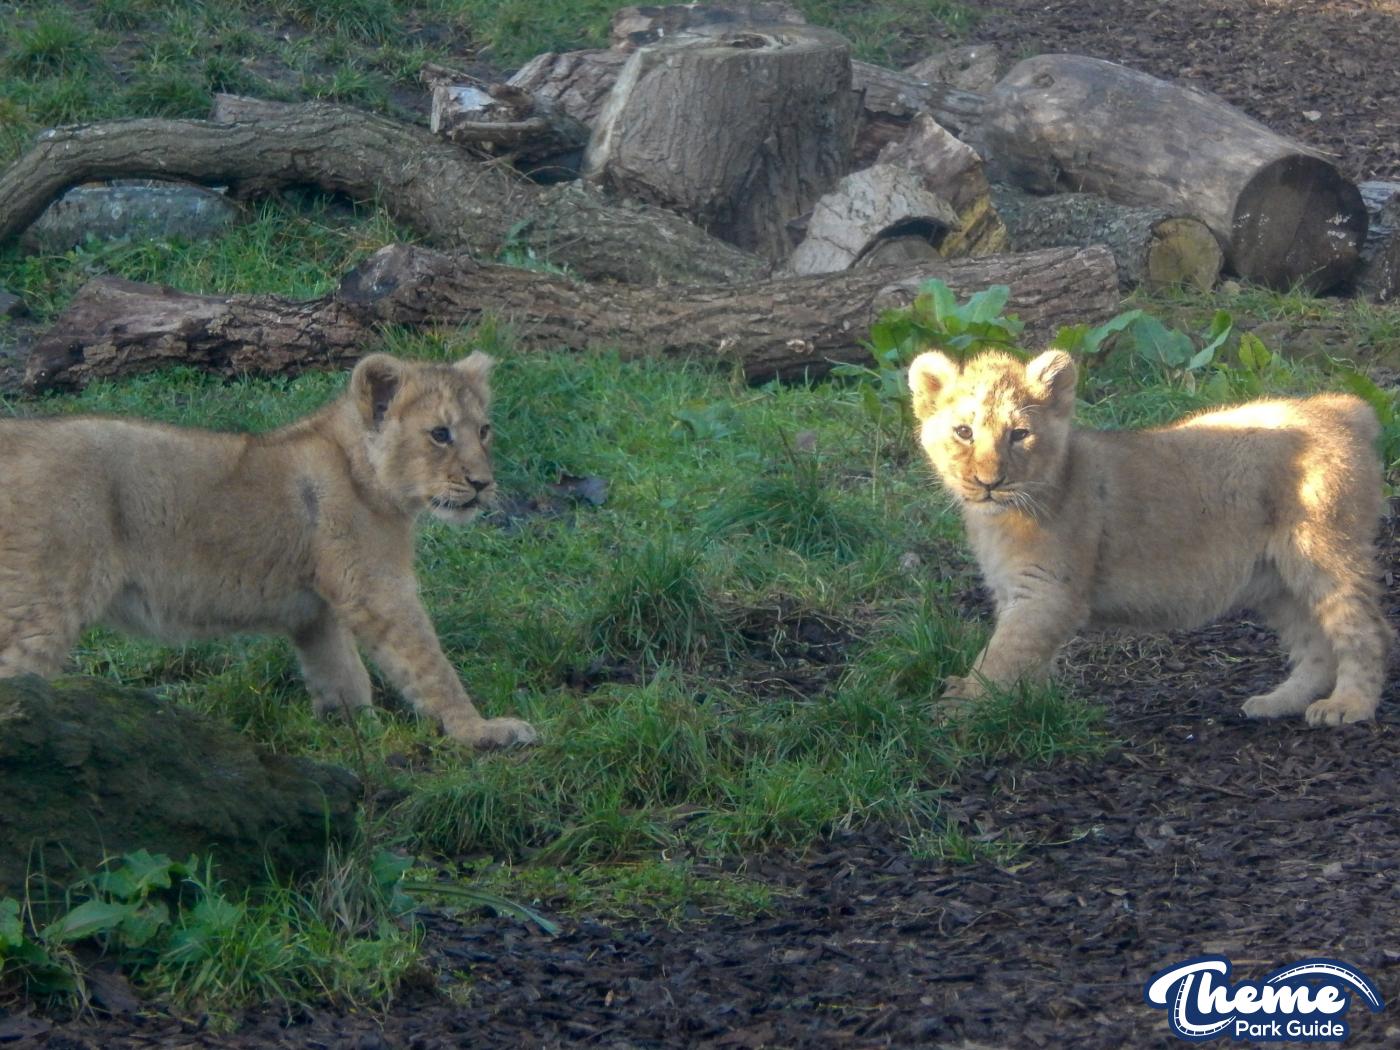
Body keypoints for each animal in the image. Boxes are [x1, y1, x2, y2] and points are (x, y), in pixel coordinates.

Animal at [0, 352, 536, 749]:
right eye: (440, 434)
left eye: (483, 430)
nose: (483, 484)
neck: (364, 473)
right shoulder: (377, 589)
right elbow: (428, 666)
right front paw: (482, 731)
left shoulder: (317, 611)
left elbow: (342, 674)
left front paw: (357, 734)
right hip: (44, 597)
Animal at [908, 348, 1390, 726]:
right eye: (964, 432)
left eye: (1019, 434)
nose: (989, 482)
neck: (1002, 516)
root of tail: (1339, 409)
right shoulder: (1017, 593)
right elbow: (1024, 656)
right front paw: (1023, 708)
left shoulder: (1047, 593)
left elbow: (1002, 655)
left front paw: (965, 705)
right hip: (1276, 578)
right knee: (1316, 645)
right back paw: (1278, 702)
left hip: (1323, 552)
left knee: (1366, 628)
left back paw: (1349, 706)